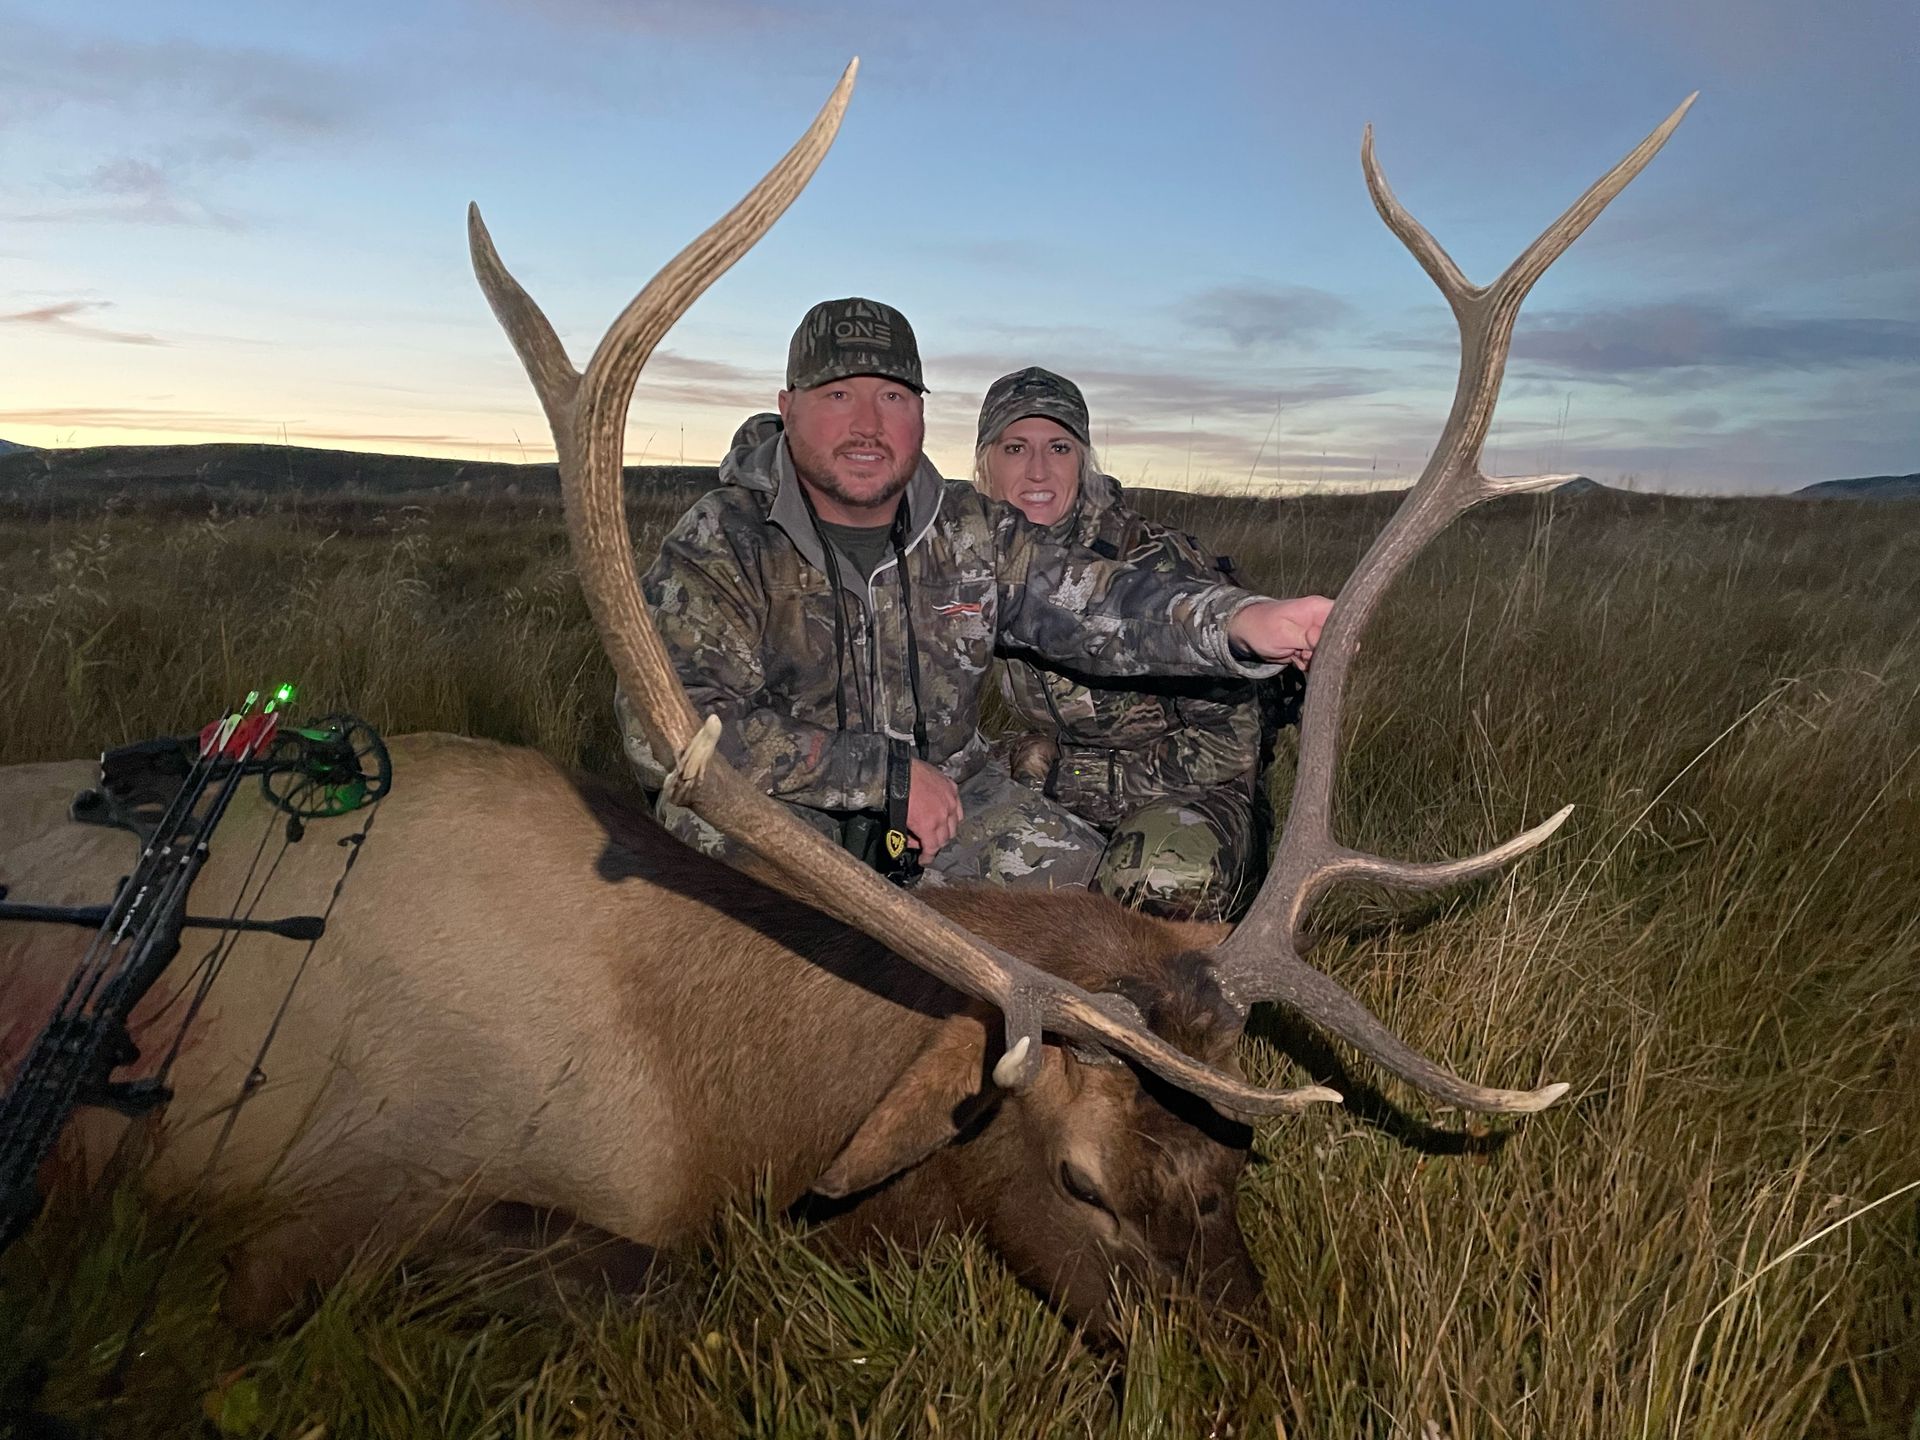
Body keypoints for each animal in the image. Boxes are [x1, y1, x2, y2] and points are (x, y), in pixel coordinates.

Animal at [0, 61, 1689, 1333]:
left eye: (1233, 1173)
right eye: (1083, 1182)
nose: (1254, 1376)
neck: (718, 1094)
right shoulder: (306, 1207)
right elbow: (631, 1280)